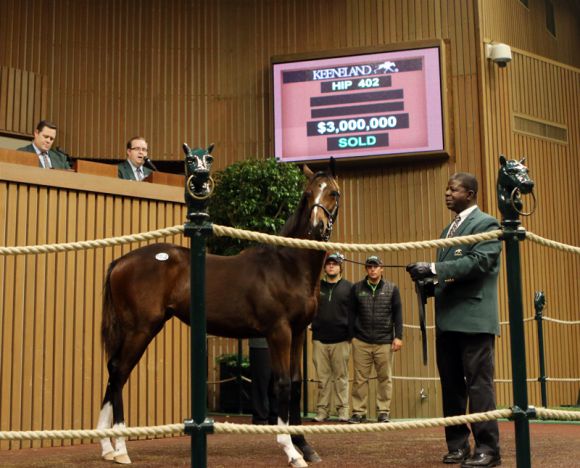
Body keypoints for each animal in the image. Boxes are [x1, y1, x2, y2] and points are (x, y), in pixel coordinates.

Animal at [95, 164, 340, 464]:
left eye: (333, 192)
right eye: (307, 194)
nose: (317, 227)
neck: (287, 265)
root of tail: (121, 262)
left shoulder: (298, 332)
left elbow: (294, 385)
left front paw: (304, 445)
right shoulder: (278, 332)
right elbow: (281, 383)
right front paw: (290, 450)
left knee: (113, 371)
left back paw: (106, 446)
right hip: (140, 328)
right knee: (120, 371)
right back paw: (120, 448)